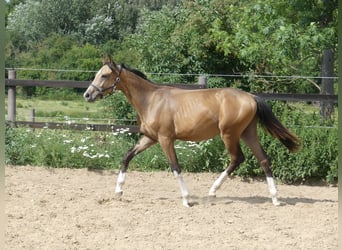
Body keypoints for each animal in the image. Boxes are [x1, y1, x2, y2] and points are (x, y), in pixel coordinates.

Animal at [85, 56, 300, 207]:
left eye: (104, 75)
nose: (87, 94)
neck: (150, 100)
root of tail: (251, 97)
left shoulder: (165, 139)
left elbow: (175, 167)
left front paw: (187, 199)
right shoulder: (150, 138)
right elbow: (127, 157)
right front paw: (118, 191)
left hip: (229, 134)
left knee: (237, 158)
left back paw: (213, 190)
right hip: (248, 133)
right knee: (263, 159)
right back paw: (275, 198)